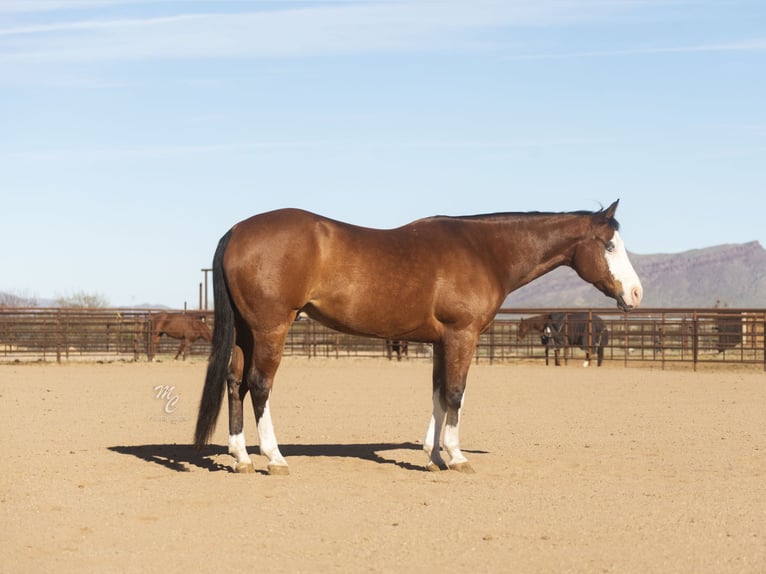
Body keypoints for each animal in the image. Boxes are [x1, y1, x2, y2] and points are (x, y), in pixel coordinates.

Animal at [195, 200, 644, 474]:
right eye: (609, 245)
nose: (636, 294)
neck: (484, 251)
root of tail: (237, 231)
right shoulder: (462, 336)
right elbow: (457, 394)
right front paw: (457, 456)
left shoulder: (440, 342)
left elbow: (438, 394)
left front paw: (433, 457)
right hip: (271, 328)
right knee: (259, 385)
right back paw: (274, 458)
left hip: (246, 332)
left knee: (234, 383)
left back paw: (240, 457)